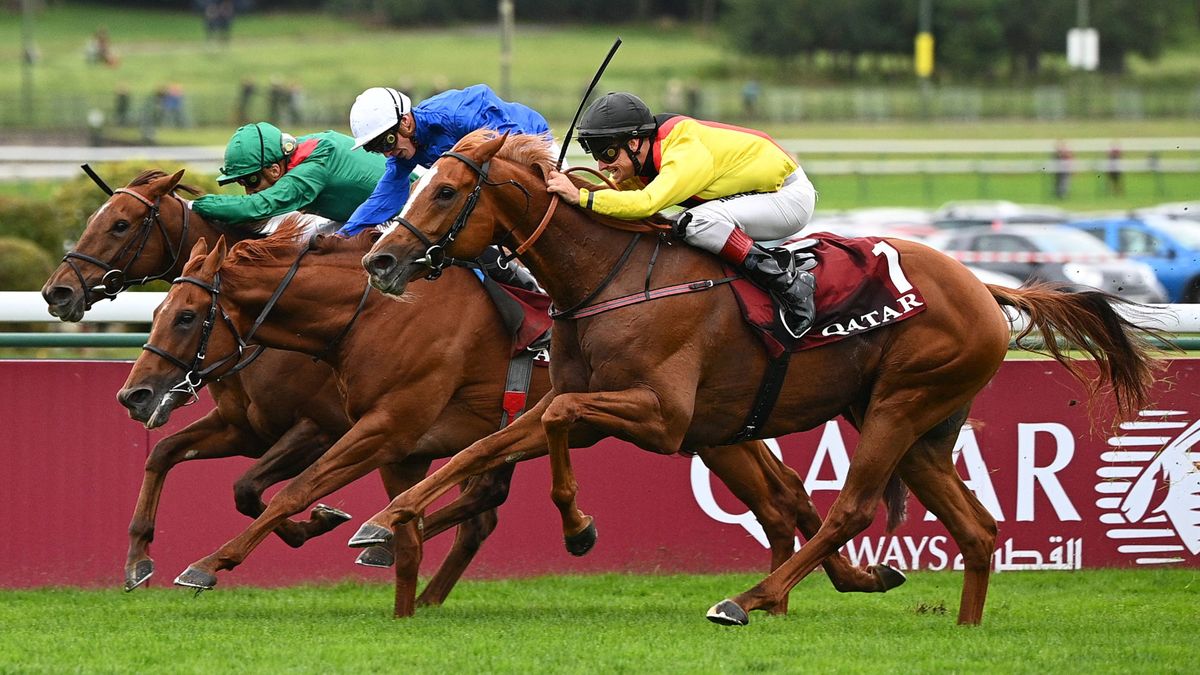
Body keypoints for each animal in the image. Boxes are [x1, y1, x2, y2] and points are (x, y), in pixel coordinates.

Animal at [119, 220, 907, 614]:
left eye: (185, 314)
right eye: (156, 311)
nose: (134, 395)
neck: (366, 314)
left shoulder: (372, 425)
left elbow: (287, 492)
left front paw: (206, 564)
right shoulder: (395, 440)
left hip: (702, 428)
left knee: (782, 501)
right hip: (714, 430)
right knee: (783, 500)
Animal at [357, 132, 1161, 624]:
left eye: (445, 192)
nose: (380, 260)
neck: (607, 276)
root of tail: (985, 287)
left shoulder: (662, 416)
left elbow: (552, 429)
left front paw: (580, 528)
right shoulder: (578, 399)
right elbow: (481, 448)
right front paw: (384, 519)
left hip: (901, 405)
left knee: (850, 509)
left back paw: (749, 598)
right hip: (917, 426)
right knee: (977, 527)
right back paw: (958, 625)